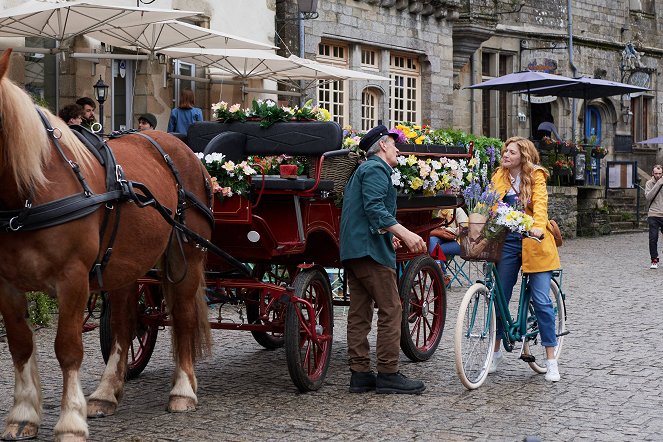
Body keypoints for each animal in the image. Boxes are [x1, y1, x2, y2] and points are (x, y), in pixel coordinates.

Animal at [0, 49, 213, 442]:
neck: (30, 191)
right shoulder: (6, 283)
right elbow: (21, 346)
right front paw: (23, 415)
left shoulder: (73, 279)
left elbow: (67, 348)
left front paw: (70, 422)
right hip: (125, 264)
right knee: (126, 323)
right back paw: (105, 392)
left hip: (187, 256)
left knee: (184, 317)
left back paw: (182, 391)